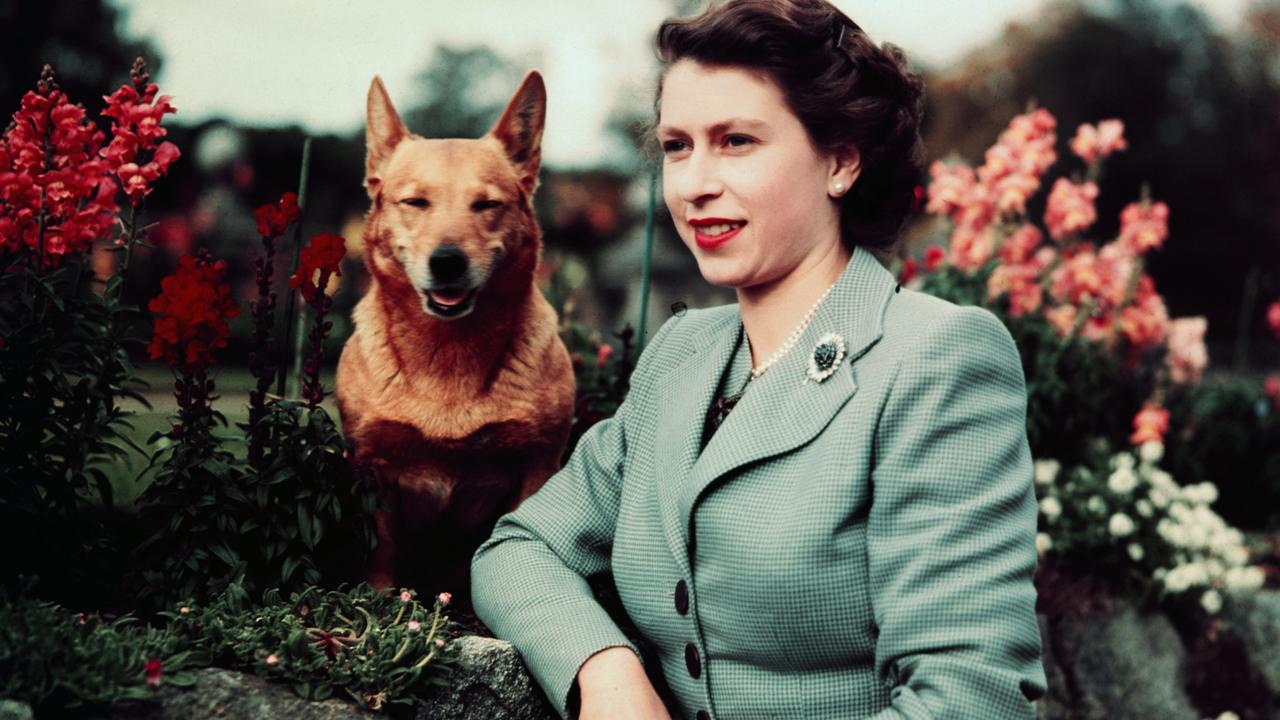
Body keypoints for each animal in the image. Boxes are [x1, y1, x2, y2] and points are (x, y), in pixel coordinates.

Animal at [340, 70, 581, 597]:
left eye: (486, 204)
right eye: (415, 202)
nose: (447, 261)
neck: (447, 355)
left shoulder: (538, 465)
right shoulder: (373, 466)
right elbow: (381, 550)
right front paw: (379, 601)